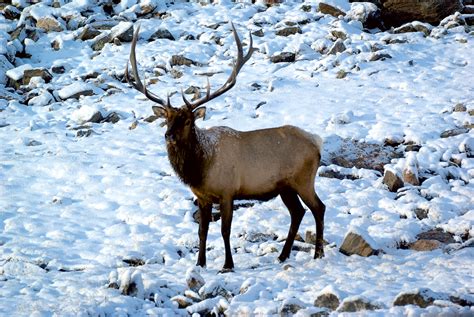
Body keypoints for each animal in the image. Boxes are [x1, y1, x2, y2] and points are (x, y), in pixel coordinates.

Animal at [126, 23, 326, 270]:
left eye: (188, 121)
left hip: (303, 179)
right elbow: (202, 231)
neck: (200, 169)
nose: (168, 135)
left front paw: (227, 265)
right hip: (285, 187)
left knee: (318, 208)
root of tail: (316, 142)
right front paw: (200, 263)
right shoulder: (202, 197)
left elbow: (224, 230)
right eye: (167, 118)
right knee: (298, 212)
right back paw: (282, 255)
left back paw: (318, 254)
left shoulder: (227, 191)